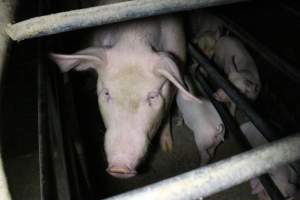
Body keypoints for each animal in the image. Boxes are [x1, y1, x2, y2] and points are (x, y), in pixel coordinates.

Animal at [48, 0, 202, 178]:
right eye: (107, 93)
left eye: (152, 96)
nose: (119, 167)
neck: (134, 38)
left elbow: (166, 112)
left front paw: (168, 148)